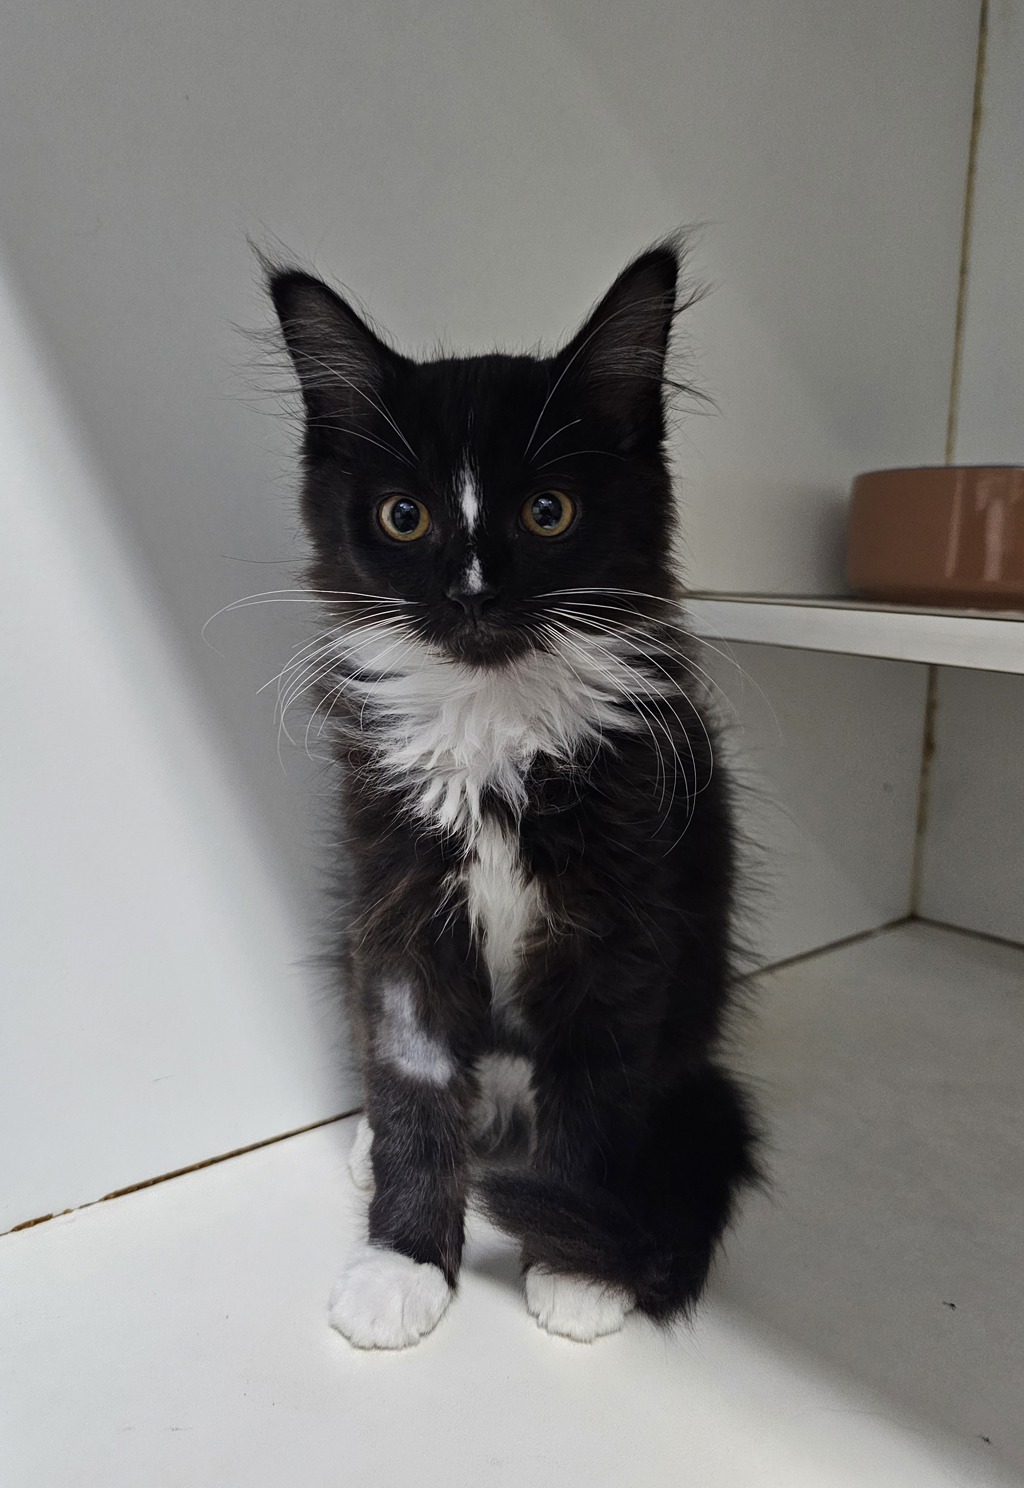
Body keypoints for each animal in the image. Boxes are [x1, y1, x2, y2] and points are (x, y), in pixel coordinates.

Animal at [267, 238, 758, 1349]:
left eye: (547, 512)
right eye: (405, 517)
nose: (474, 592)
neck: (492, 729)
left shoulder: (622, 924)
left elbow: (595, 1095)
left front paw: (577, 1258)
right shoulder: (396, 902)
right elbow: (412, 1080)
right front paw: (403, 1257)